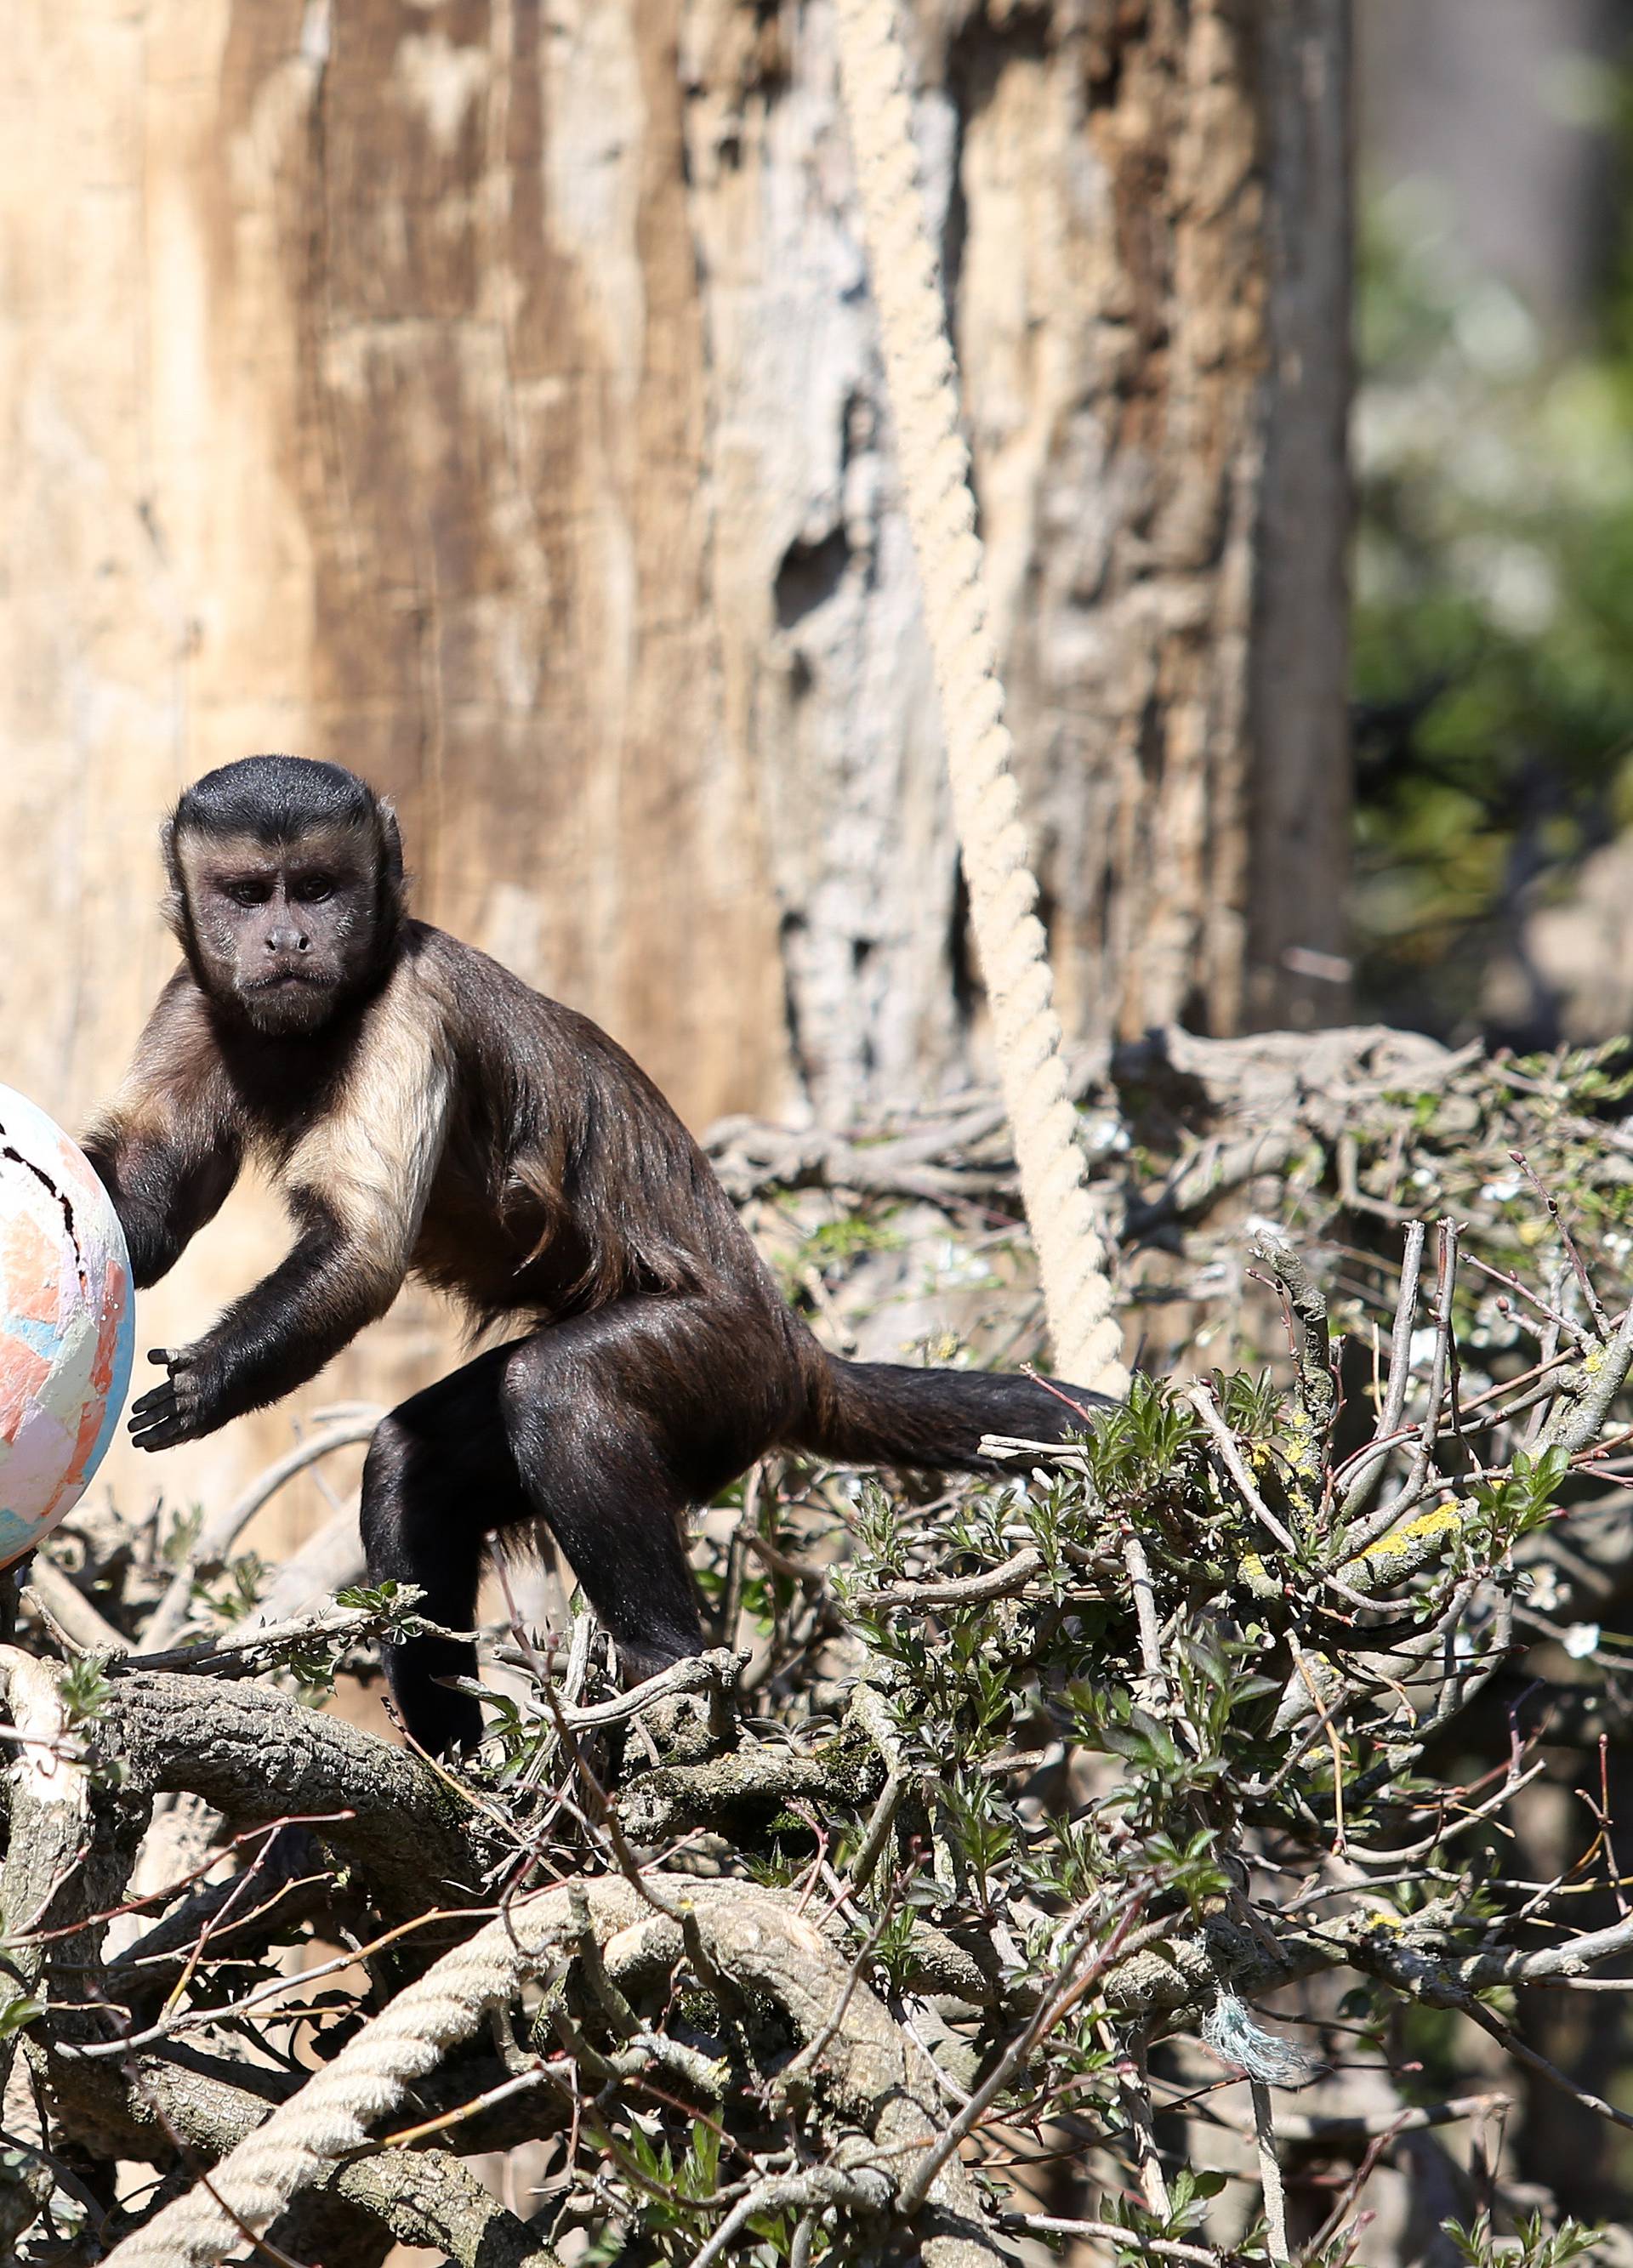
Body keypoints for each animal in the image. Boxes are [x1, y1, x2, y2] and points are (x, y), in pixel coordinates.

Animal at [86, 762, 1111, 1750]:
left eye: (318, 889)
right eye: (248, 893)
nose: (288, 940)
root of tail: (799, 1348)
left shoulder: (406, 1008)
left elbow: (362, 1249)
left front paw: (207, 1382)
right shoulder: (191, 999)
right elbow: (147, 1211)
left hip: (729, 1369)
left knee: (557, 1386)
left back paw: (667, 1671)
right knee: (409, 1462)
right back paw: (464, 1759)